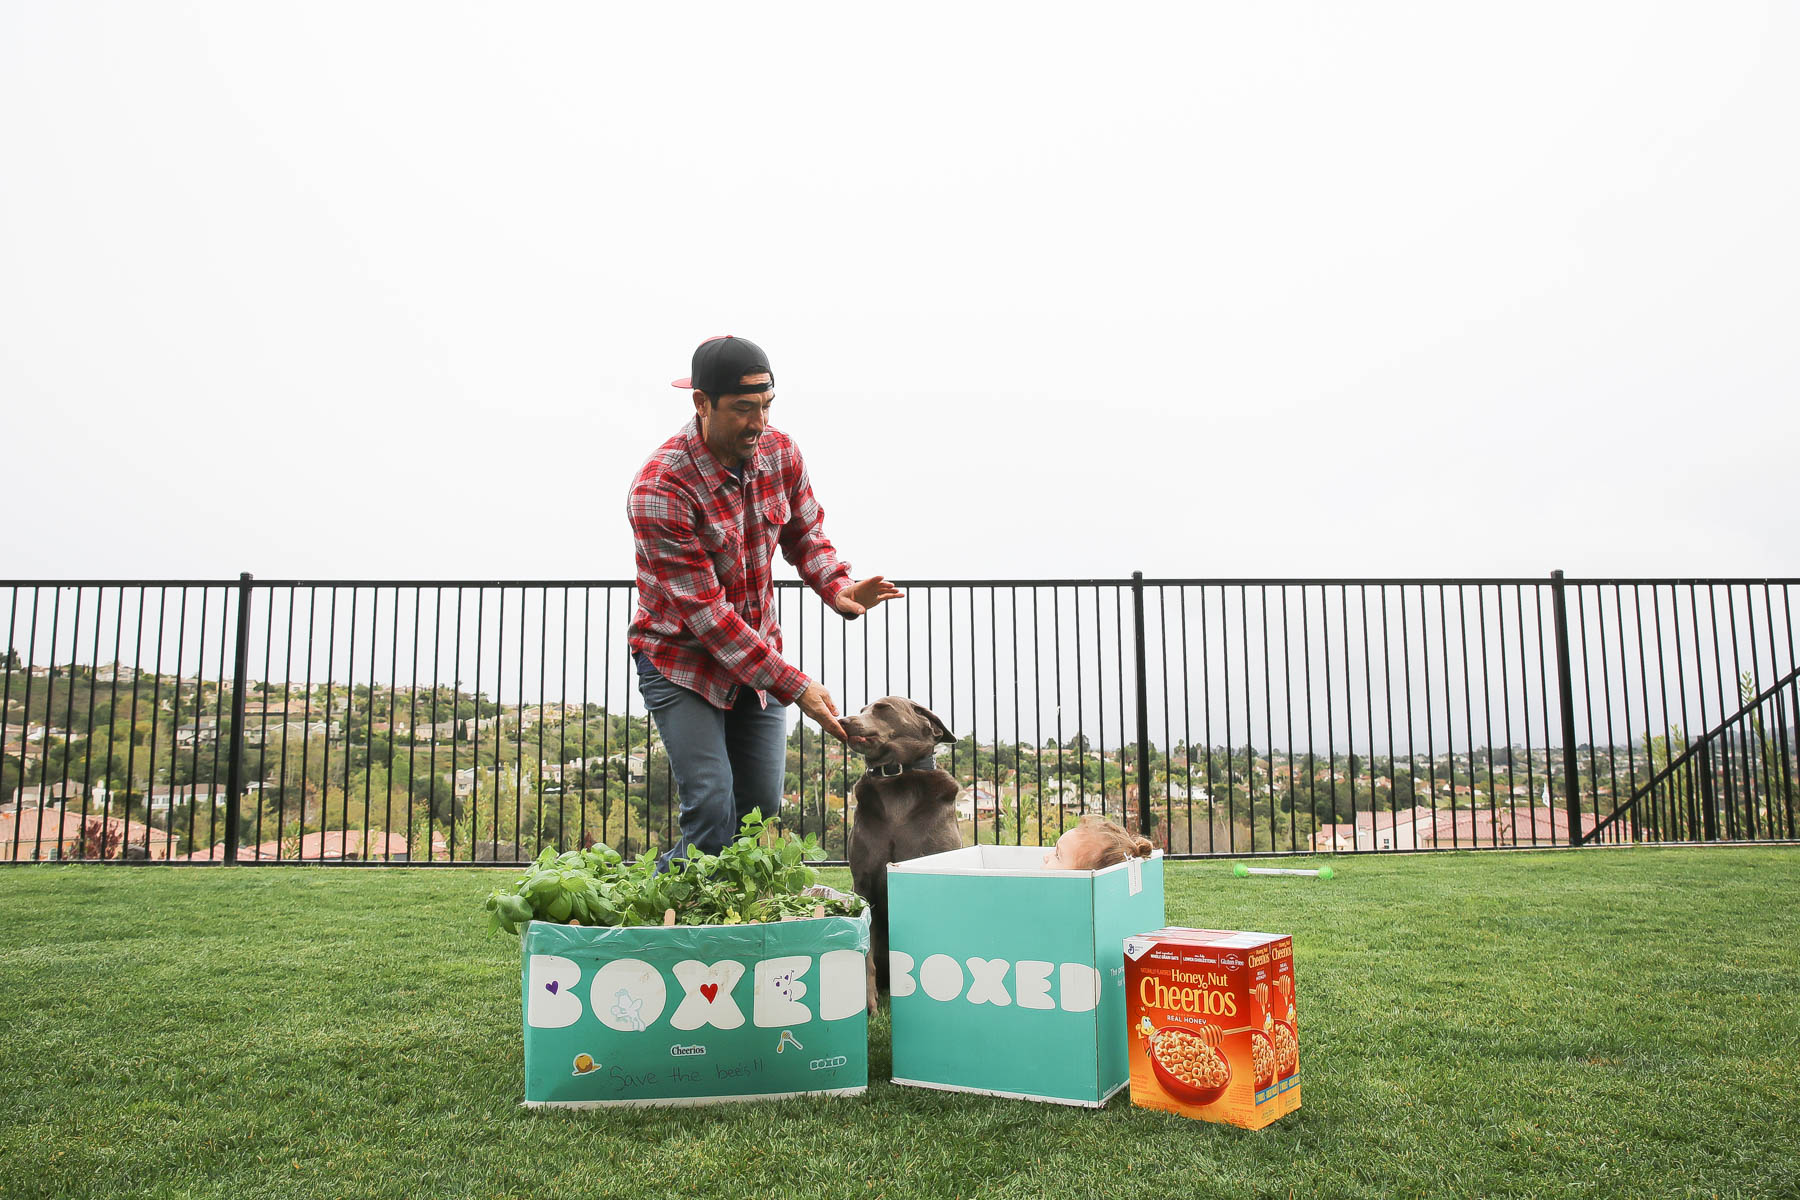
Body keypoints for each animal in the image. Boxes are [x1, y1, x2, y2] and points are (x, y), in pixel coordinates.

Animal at [838, 694, 964, 1007]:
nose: (843, 721)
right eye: (862, 710)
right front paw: (868, 1001)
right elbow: (867, 952)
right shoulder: (863, 883)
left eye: (883, 708)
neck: (895, 780)